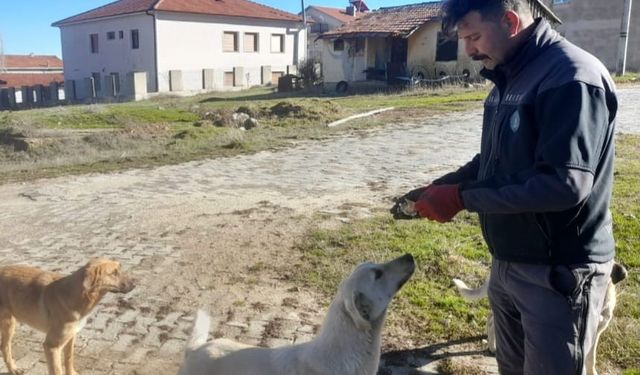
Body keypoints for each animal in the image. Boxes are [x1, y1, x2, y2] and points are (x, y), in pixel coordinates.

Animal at [0, 258, 135, 375]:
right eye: (114, 273)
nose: (134, 284)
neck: (76, 296)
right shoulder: (51, 346)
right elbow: (57, 370)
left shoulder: (71, 337)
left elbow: (69, 359)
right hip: (8, 325)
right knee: (5, 348)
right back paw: (13, 369)